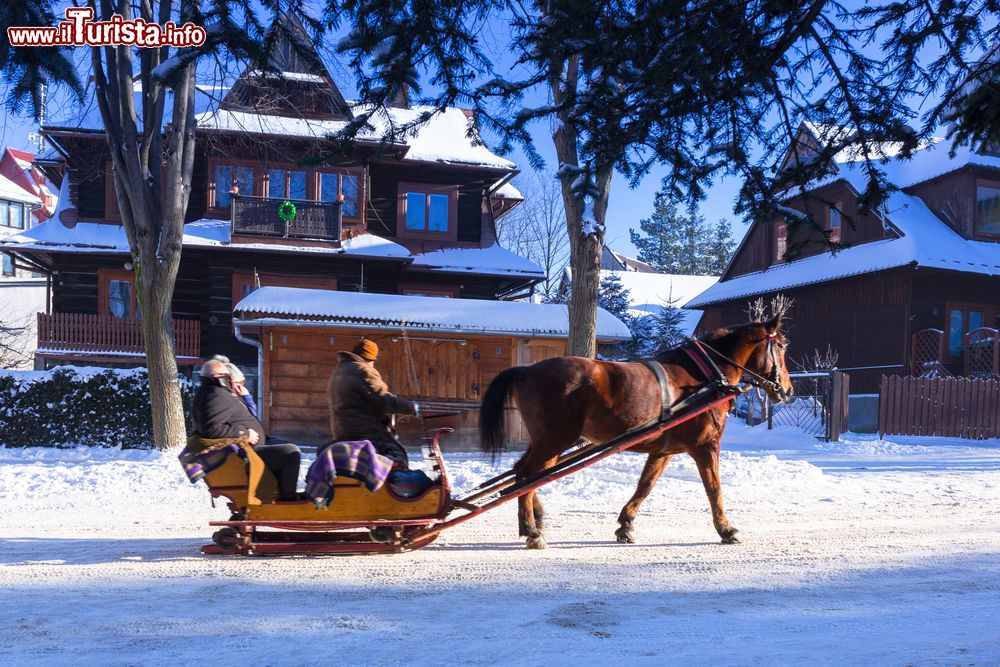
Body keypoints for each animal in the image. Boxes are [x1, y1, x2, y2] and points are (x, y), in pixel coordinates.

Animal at [480, 318, 792, 548]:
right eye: (782, 346)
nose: (787, 390)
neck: (704, 376)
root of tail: (526, 371)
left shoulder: (663, 450)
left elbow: (645, 485)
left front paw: (626, 525)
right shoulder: (706, 445)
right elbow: (714, 489)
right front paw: (726, 530)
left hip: (546, 442)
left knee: (523, 474)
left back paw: (536, 519)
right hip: (554, 440)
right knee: (526, 477)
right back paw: (532, 531)